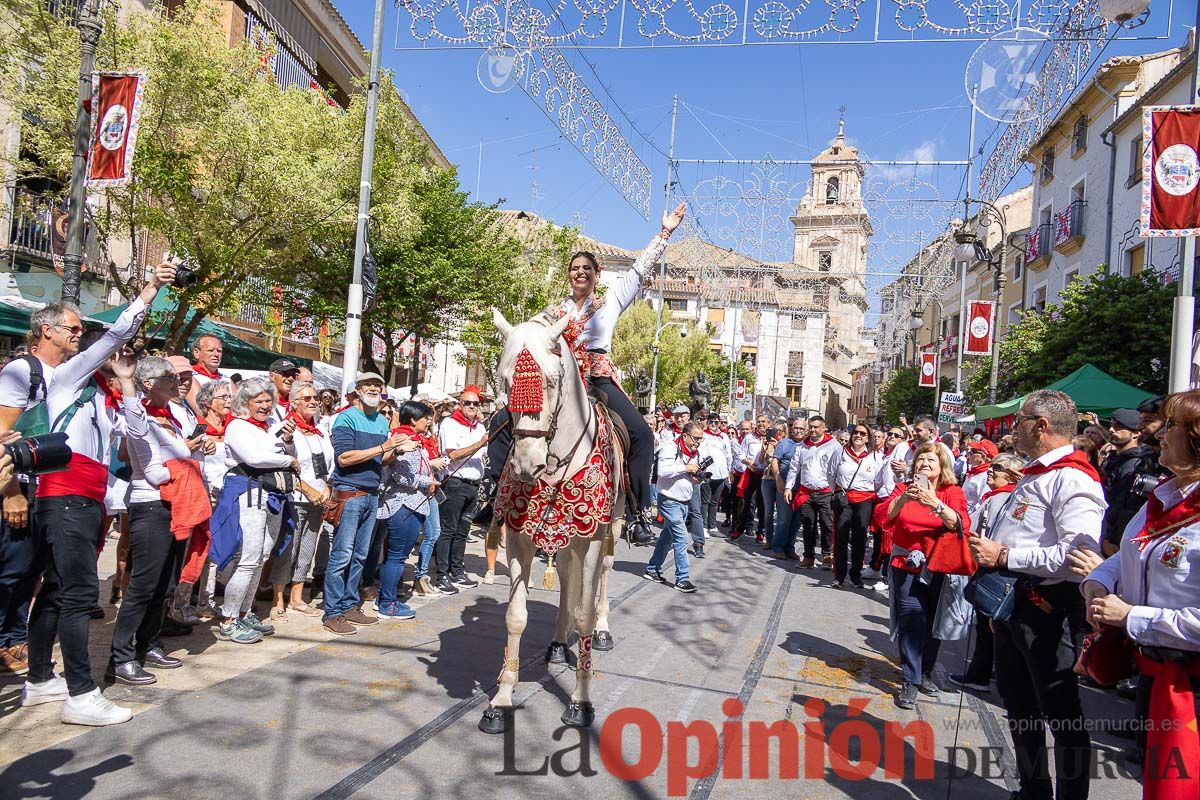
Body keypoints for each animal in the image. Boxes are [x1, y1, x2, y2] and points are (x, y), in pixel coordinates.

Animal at [480, 309, 628, 734]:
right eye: (505, 380)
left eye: (550, 380)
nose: (526, 464)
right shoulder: (519, 538)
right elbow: (515, 617)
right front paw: (500, 701)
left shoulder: (591, 537)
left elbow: (584, 611)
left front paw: (580, 702)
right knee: (565, 575)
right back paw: (560, 643)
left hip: (612, 526)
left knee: (603, 574)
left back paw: (602, 630)